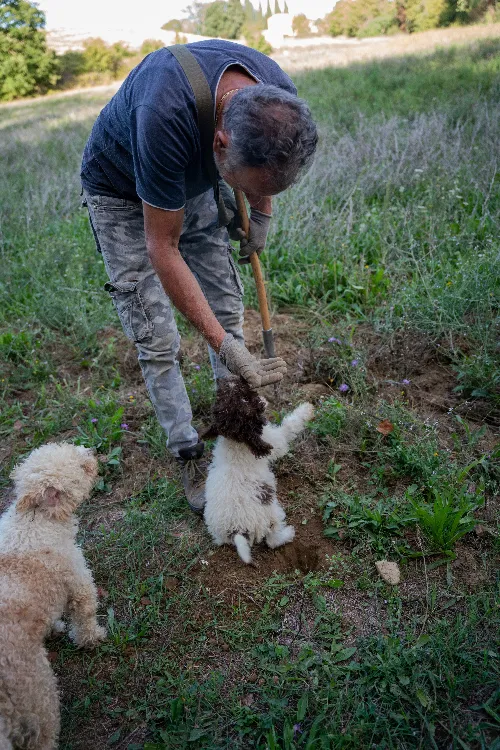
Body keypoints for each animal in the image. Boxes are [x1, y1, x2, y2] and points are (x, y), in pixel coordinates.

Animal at [0, 444, 106, 748]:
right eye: (81, 466)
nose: (92, 453)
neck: (35, 519)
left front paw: (55, 627)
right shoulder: (78, 580)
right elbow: (85, 615)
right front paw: (92, 638)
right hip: (38, 696)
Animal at [202, 382, 312, 564]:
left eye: (221, 396)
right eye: (245, 398)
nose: (231, 379)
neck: (236, 442)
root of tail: (237, 529)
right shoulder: (275, 441)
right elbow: (289, 427)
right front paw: (307, 409)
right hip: (271, 514)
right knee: (272, 540)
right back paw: (288, 534)